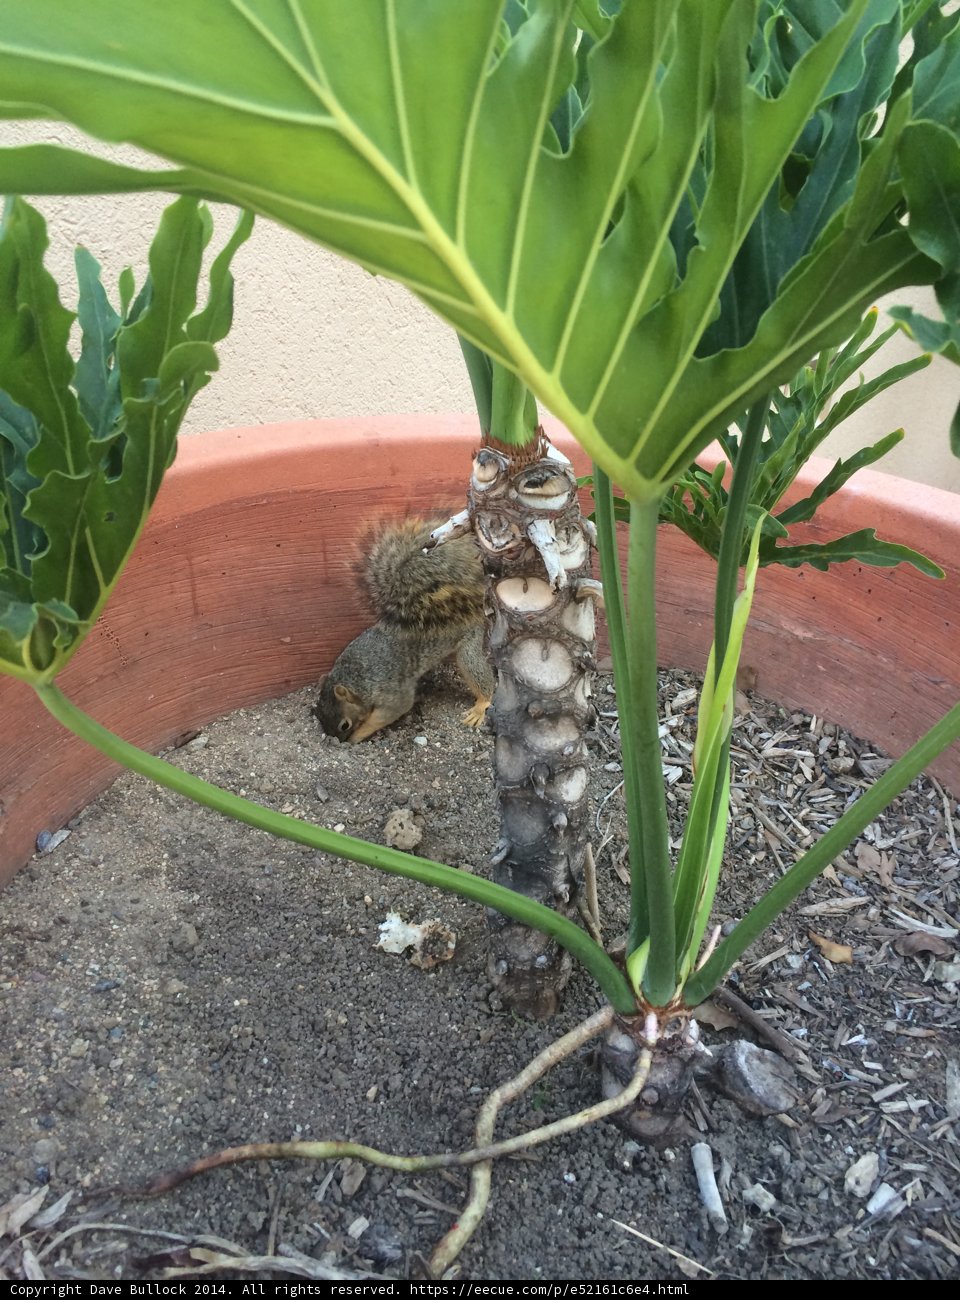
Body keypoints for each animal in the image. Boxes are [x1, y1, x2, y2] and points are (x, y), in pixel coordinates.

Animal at [313, 516, 494, 743]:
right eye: (319, 715)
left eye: (344, 725)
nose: (339, 741)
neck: (355, 674)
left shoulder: (392, 693)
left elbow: (393, 711)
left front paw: (358, 736)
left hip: (470, 645)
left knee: (477, 671)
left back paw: (481, 705)